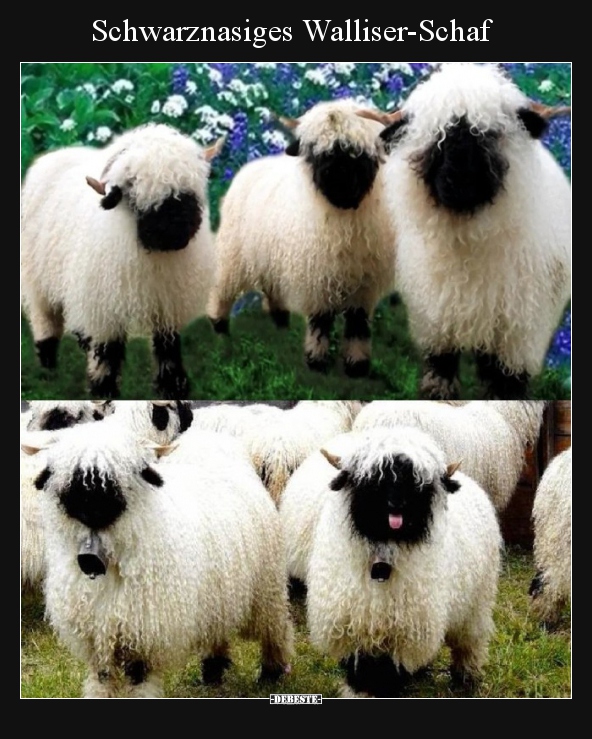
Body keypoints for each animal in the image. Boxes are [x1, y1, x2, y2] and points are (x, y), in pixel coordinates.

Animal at [21, 123, 224, 399]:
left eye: (188, 184)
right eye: (133, 185)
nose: (176, 232)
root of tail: (57, 152)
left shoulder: (166, 301)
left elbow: (167, 347)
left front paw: (172, 387)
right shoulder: (104, 305)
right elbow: (107, 351)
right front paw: (103, 390)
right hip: (38, 280)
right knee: (45, 321)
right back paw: (48, 367)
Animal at [21, 420, 294, 698]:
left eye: (112, 483)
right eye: (72, 484)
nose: (91, 510)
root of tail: (213, 443)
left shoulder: (144, 633)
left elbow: (138, 678)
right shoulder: (97, 635)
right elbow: (103, 679)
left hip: (266, 588)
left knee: (275, 629)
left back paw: (272, 672)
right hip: (218, 594)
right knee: (217, 629)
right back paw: (212, 670)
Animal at [207, 98, 397, 377]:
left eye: (356, 151)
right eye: (316, 151)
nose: (336, 177)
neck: (344, 216)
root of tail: (253, 165)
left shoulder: (364, 284)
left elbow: (357, 324)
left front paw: (357, 365)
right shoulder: (318, 276)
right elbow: (321, 320)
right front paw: (316, 361)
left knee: (271, 288)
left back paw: (280, 321)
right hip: (234, 253)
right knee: (222, 289)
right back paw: (219, 326)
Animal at [303, 426, 502, 697]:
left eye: (416, 480)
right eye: (374, 478)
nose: (396, 504)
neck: (384, 552)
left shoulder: (404, 629)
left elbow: (390, 669)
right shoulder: (354, 623)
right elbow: (360, 666)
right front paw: (360, 690)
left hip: (475, 605)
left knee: (469, 643)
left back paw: (466, 678)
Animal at [378, 62, 571, 399]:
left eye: (491, 133)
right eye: (435, 137)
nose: (459, 181)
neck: (469, 239)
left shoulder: (519, 332)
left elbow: (506, 383)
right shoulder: (437, 318)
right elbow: (441, 369)